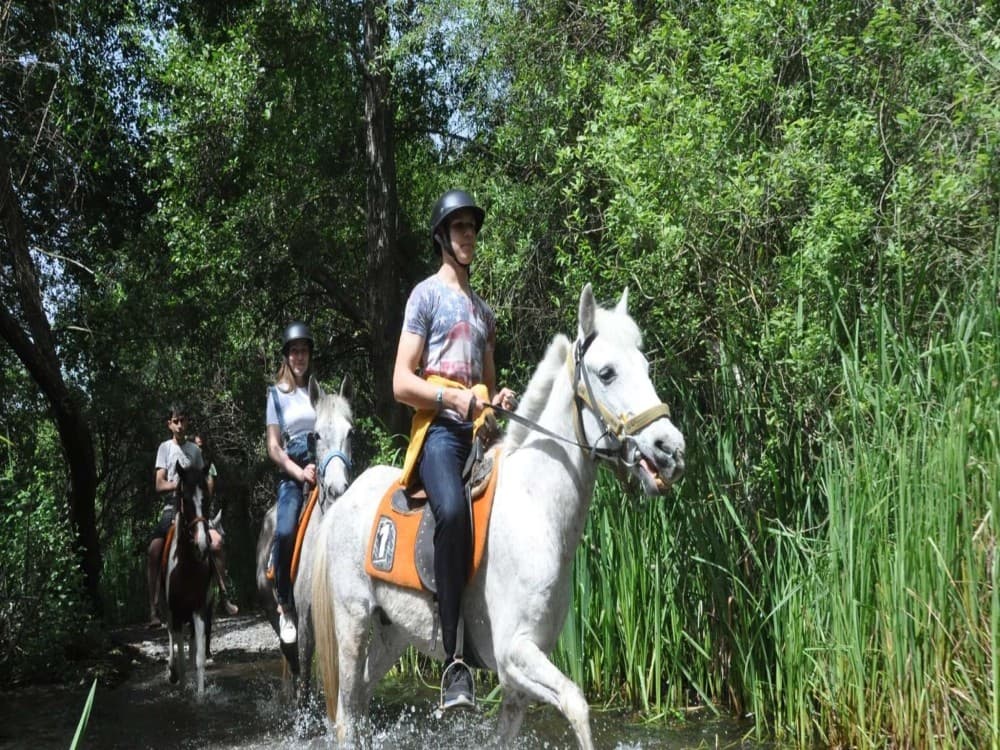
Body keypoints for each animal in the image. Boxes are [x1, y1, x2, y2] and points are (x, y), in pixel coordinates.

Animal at [255, 375, 354, 706]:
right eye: (316, 435)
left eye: (351, 432)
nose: (337, 489)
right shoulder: (308, 618)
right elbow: (305, 671)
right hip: (273, 608)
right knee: (289, 653)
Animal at [311, 284, 686, 749]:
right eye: (607, 373)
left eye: (645, 366)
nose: (671, 449)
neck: (536, 509)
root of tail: (345, 498)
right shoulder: (513, 653)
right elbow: (577, 703)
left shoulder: (520, 673)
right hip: (352, 622)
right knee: (346, 713)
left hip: (390, 633)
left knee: (360, 701)